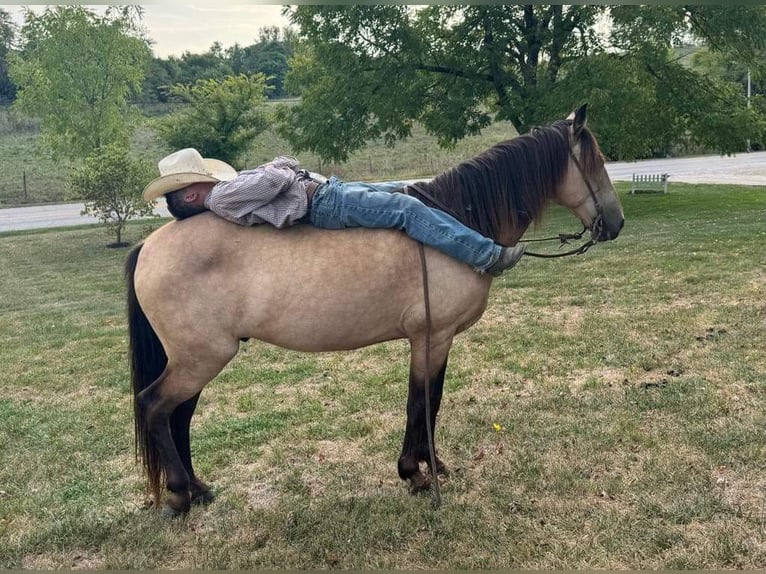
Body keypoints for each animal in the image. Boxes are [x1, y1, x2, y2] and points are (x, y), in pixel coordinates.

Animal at [125, 105, 625, 516]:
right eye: (596, 161)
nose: (616, 223)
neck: (461, 220)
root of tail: (148, 245)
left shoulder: (438, 340)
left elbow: (432, 401)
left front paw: (431, 465)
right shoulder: (431, 336)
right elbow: (419, 401)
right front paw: (414, 474)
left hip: (196, 359)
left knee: (178, 415)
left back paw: (196, 490)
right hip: (202, 357)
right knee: (154, 407)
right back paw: (179, 494)